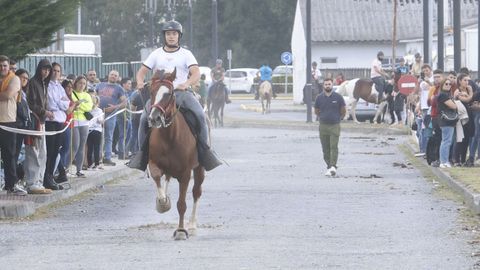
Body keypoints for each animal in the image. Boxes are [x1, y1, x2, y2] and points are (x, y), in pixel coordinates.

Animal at [147, 69, 205, 240]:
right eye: (151, 92)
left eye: (168, 93)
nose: (154, 118)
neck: (169, 137)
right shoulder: (153, 162)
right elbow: (156, 177)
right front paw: (162, 202)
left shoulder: (185, 173)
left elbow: (181, 204)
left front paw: (180, 230)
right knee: (166, 178)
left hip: (199, 169)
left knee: (196, 192)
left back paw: (191, 225)